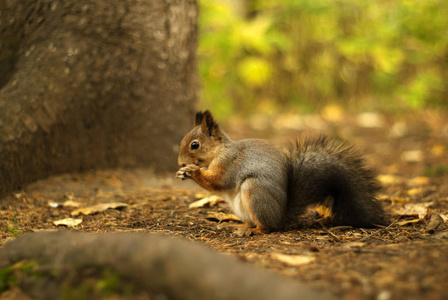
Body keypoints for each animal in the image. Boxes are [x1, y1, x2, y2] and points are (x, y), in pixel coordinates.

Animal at [175, 110, 388, 237]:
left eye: (195, 145)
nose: (180, 163)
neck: (219, 151)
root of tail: (280, 217)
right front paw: (183, 172)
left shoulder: (229, 163)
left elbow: (219, 181)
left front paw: (192, 171)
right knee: (253, 222)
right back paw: (236, 226)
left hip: (255, 191)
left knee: (267, 227)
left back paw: (250, 231)